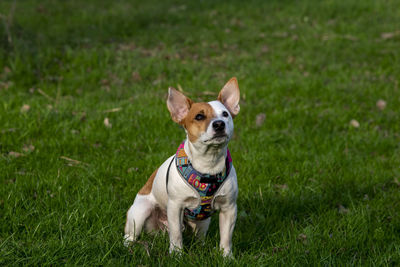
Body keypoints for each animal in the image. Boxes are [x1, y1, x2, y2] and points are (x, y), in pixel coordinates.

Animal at [123, 77, 239, 258]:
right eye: (199, 116)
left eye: (225, 114)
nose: (219, 124)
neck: (208, 164)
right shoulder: (175, 207)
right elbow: (176, 234)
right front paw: (176, 255)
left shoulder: (229, 209)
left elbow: (226, 237)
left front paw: (226, 257)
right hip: (140, 213)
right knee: (130, 235)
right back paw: (129, 246)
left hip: (203, 222)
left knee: (199, 236)